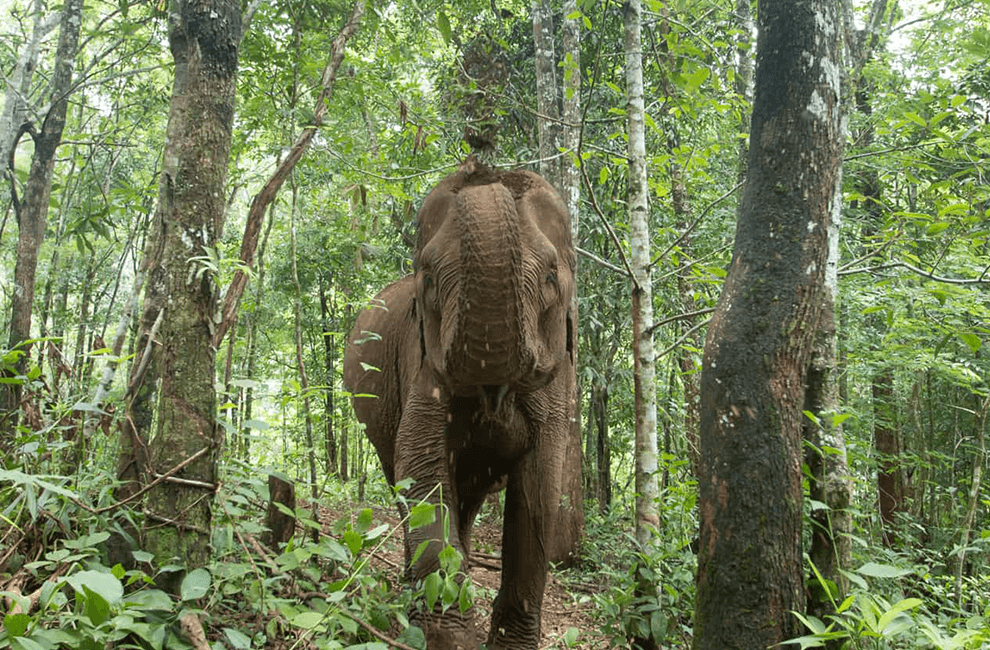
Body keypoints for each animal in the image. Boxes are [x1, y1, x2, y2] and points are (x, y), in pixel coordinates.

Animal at [344, 158, 576, 648]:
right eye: (429, 279)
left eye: (550, 277)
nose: (482, 166)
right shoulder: (421, 362)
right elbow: (419, 463)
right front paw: (446, 635)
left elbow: (540, 485)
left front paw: (510, 644)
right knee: (401, 477)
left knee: (469, 499)